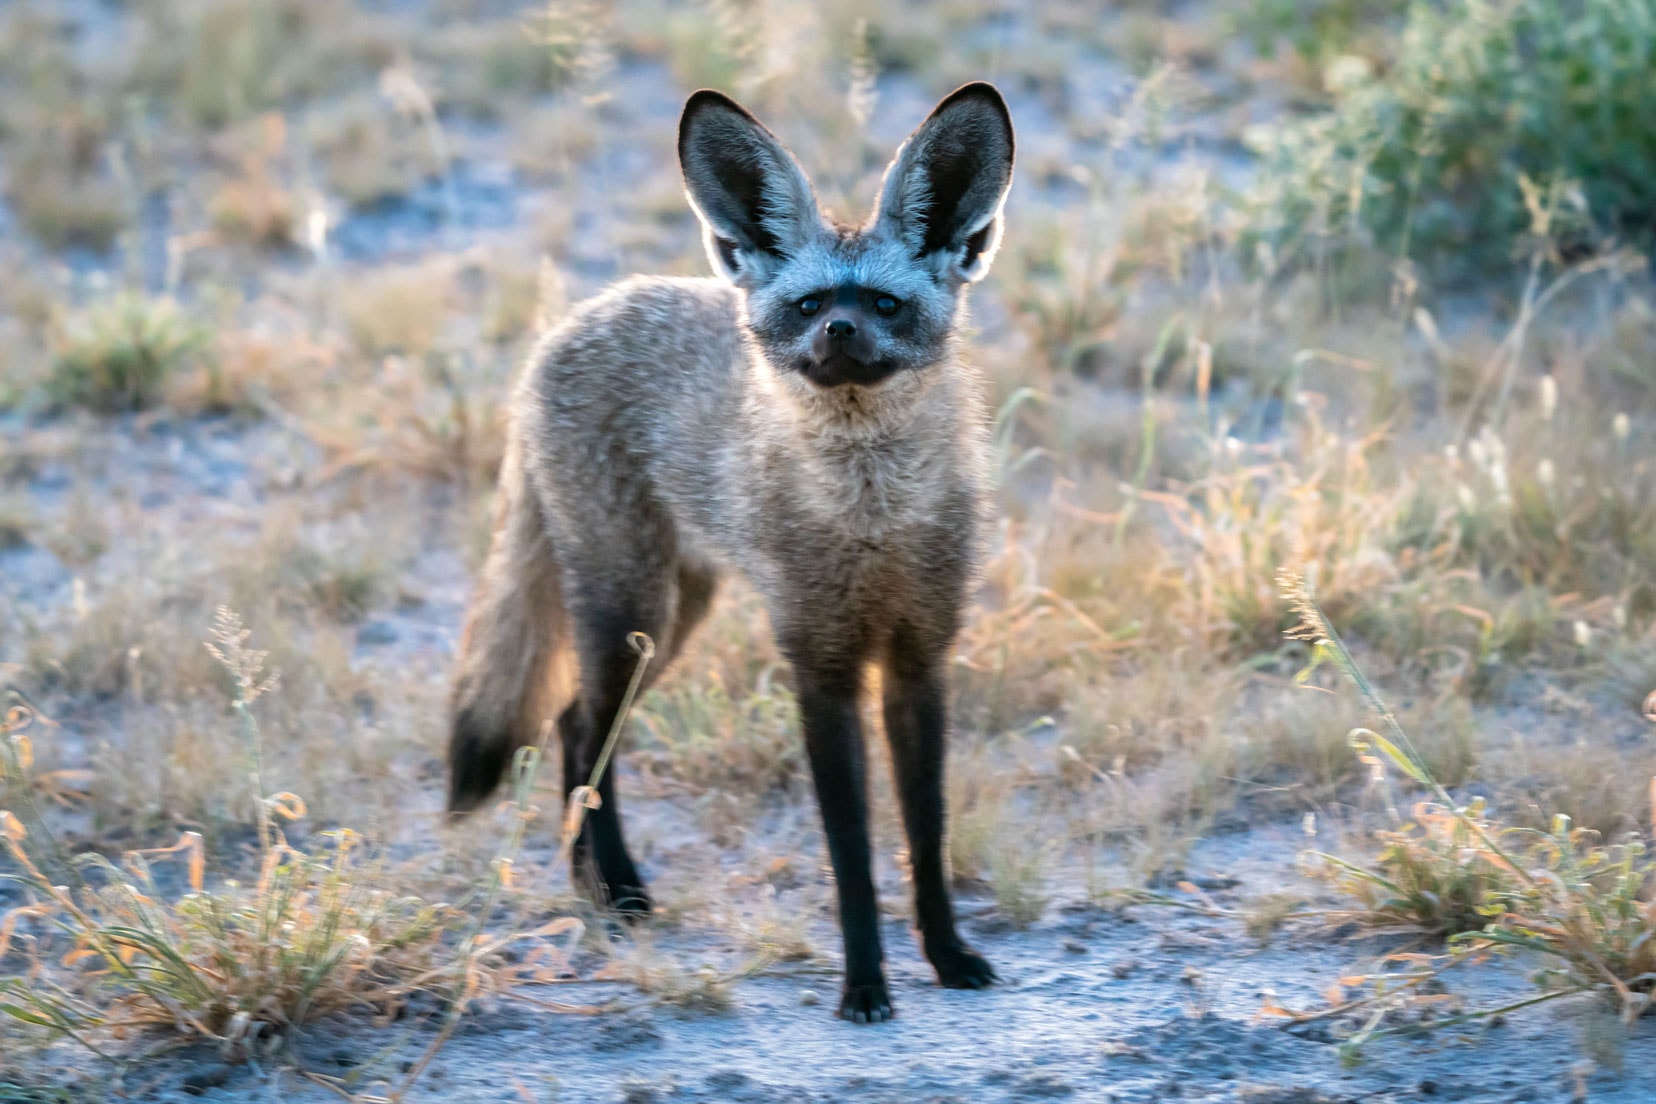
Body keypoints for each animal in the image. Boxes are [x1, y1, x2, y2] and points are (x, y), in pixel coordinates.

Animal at [447, 81, 1013, 1026]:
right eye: (811, 305)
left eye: (883, 305)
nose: (840, 335)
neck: (871, 521)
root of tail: (571, 323)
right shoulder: (819, 665)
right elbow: (852, 854)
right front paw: (864, 985)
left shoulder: (920, 659)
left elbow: (924, 837)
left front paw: (946, 954)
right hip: (631, 612)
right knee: (584, 726)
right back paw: (617, 890)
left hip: (674, 619)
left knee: (571, 724)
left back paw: (591, 884)